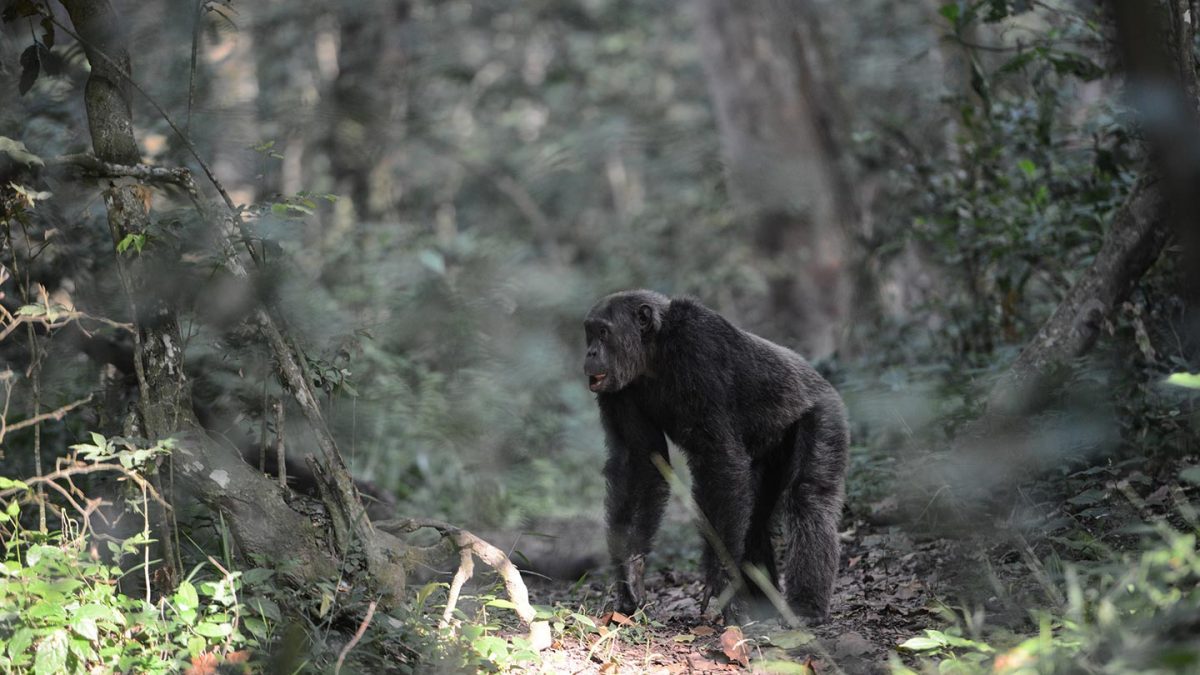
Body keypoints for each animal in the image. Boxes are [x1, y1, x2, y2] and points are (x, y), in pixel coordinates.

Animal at [583, 290, 849, 623]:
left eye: (603, 332)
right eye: (589, 332)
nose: (590, 352)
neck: (654, 354)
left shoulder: (700, 350)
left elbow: (720, 457)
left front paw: (718, 577)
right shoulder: (620, 393)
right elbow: (639, 463)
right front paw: (630, 574)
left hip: (825, 414)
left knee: (809, 496)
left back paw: (805, 607)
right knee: (754, 518)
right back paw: (761, 605)